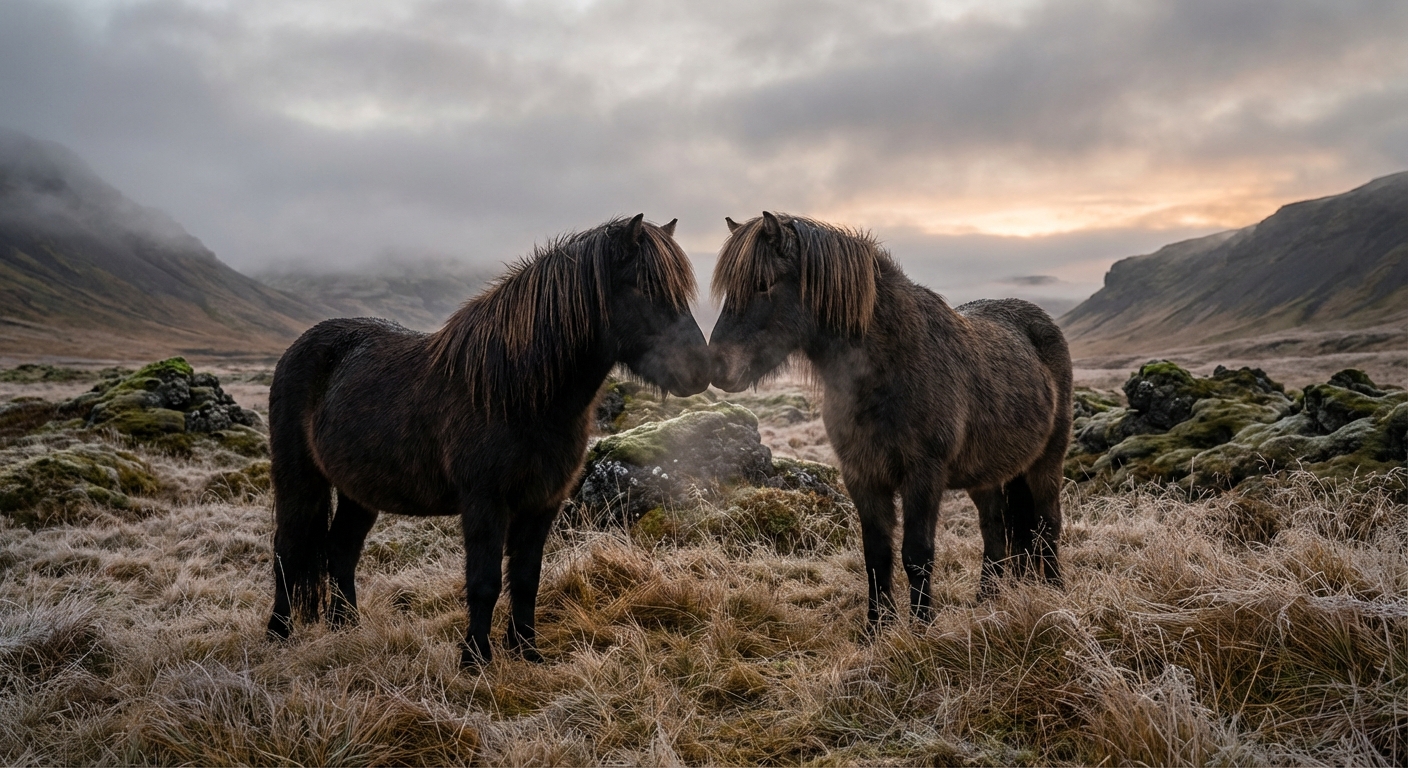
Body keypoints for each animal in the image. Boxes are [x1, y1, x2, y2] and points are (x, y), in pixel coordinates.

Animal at [266, 214, 710, 666]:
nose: (700, 371)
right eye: (643, 287)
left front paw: (527, 651)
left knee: (341, 550)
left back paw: (346, 628)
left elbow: (527, 579)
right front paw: (475, 658)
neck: (516, 391)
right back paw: (278, 634)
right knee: (288, 550)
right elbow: (485, 581)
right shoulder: (485, 502)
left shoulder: (542, 503)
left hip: (359, 490)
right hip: (299, 479)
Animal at [708, 212, 1072, 629]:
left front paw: (922, 627)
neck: (890, 366)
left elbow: (916, 553)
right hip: (987, 474)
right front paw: (875, 628)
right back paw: (987, 599)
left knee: (1046, 524)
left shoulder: (923, 474)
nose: (716, 366)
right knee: (995, 529)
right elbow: (876, 555)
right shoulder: (861, 474)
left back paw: (1056, 592)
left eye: (763, 285)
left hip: (1047, 461)